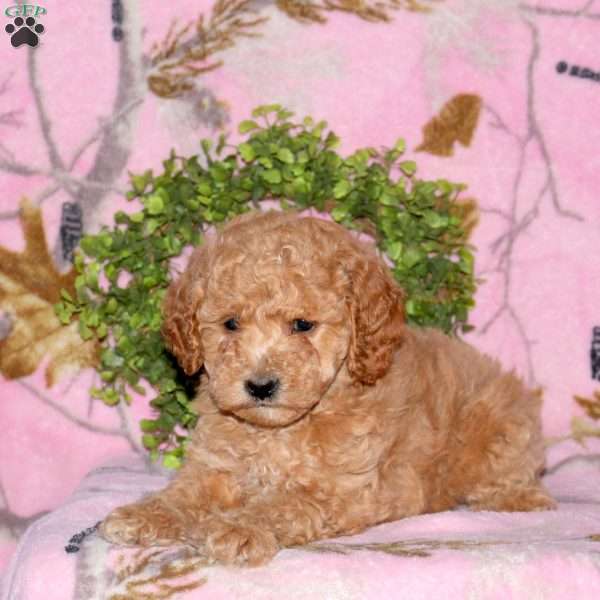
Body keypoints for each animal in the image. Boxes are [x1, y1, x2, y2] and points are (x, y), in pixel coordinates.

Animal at [101, 212, 556, 568]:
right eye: (230, 324)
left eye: (303, 325)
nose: (260, 386)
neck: (277, 432)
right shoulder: (215, 466)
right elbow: (185, 493)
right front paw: (146, 514)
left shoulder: (343, 490)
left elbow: (284, 503)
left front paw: (238, 526)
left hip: (500, 426)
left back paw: (518, 500)